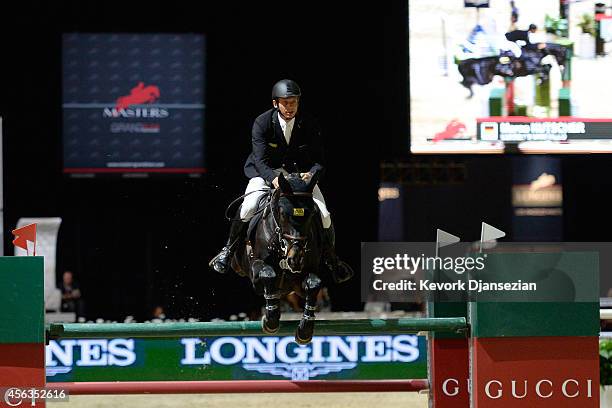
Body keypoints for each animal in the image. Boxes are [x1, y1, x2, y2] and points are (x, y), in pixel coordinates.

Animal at [231, 172, 326, 344]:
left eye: (312, 214)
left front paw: (305, 330)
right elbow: (268, 274)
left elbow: (314, 284)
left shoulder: (301, 282)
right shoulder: (255, 275)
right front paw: (271, 320)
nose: (295, 258)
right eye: (282, 213)